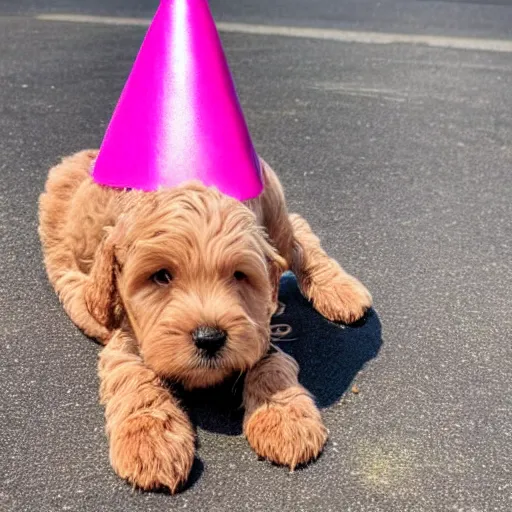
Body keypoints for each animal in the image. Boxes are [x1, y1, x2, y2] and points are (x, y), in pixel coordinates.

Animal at [37, 150, 372, 494]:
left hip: (274, 212)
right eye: (161, 276)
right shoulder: (127, 332)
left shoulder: (256, 324)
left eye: (239, 275)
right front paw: (150, 439)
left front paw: (283, 415)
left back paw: (340, 289)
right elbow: (134, 376)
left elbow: (271, 362)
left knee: (296, 230)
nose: (209, 338)